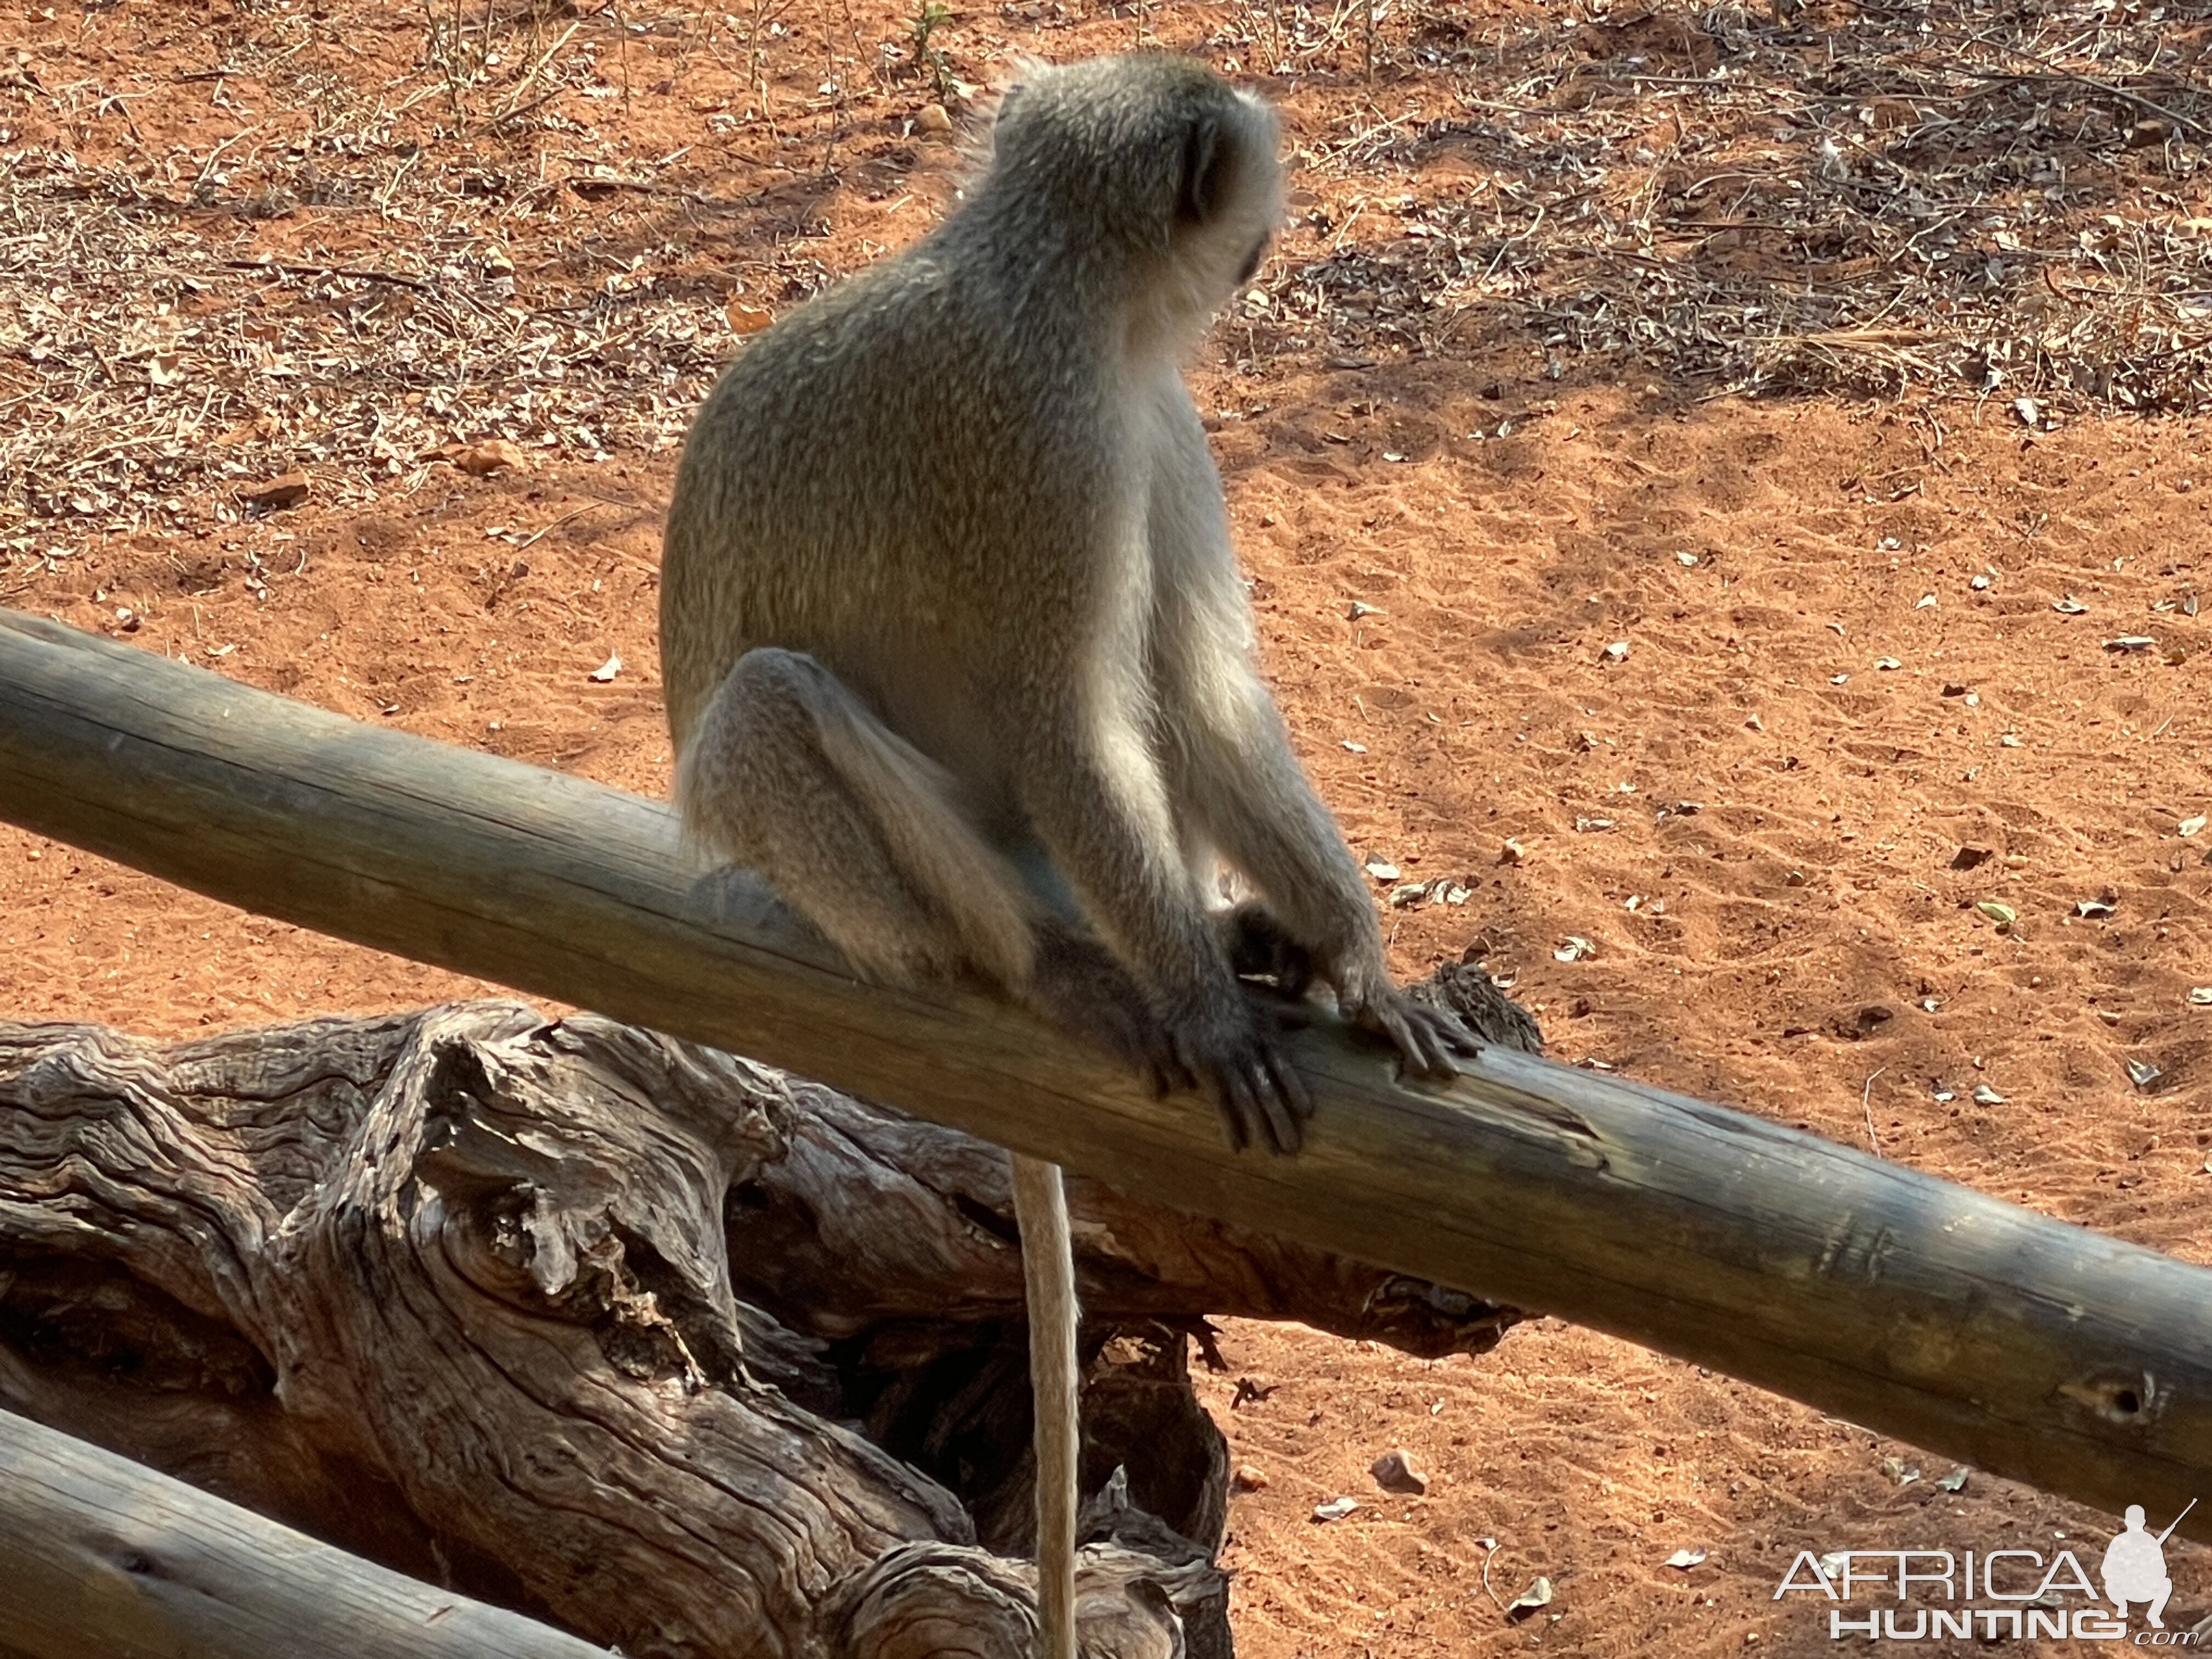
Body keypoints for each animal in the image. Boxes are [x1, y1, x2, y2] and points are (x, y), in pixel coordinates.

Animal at [659, 53, 1476, 1658]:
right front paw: (1212, 1006)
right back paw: (1051, 969)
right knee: (768, 706)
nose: (1269, 243)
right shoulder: (1054, 445)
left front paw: (1355, 963)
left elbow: (1195, 693)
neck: (1050, 276)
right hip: (895, 860)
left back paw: (1238, 938)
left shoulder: (1152, 423)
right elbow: (1062, 711)